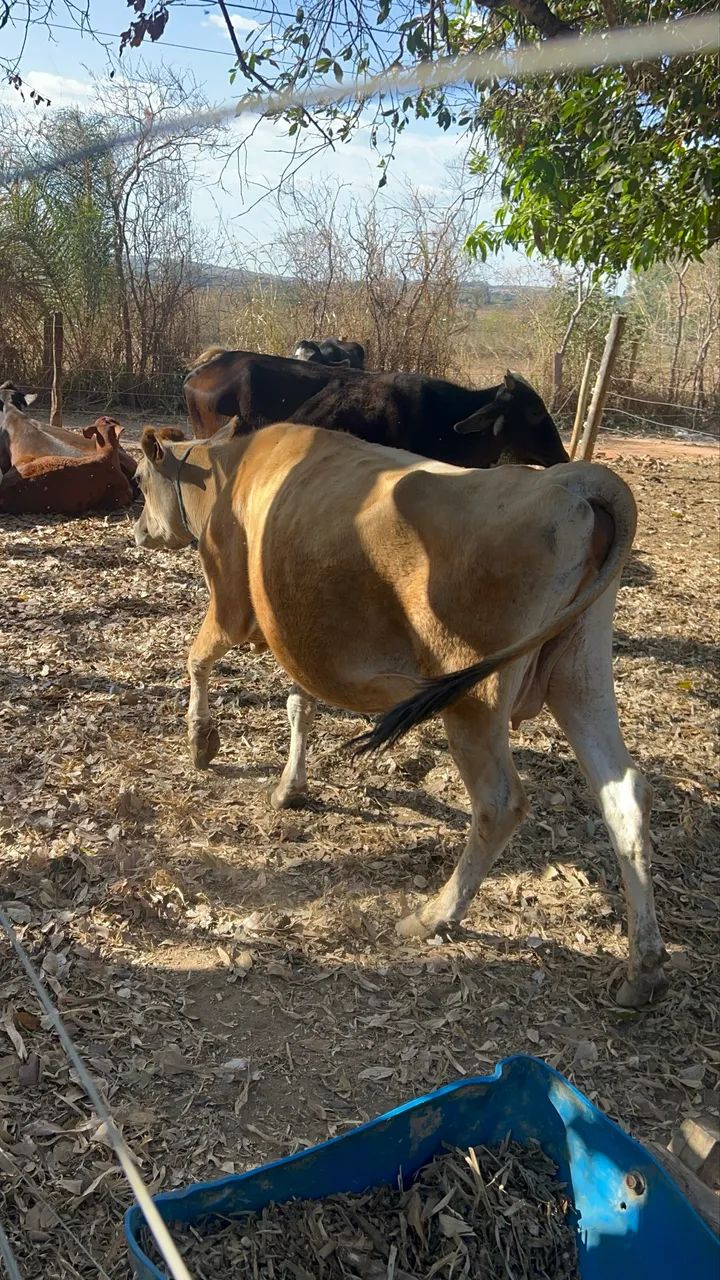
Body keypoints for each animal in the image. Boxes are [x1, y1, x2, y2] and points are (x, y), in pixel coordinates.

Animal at [133, 422, 667, 1008]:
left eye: (137, 479)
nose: (137, 532)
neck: (231, 470)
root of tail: (569, 480)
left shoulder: (234, 608)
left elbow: (198, 658)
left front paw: (201, 741)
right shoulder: (297, 633)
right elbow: (300, 705)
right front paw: (291, 786)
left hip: (474, 694)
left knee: (500, 803)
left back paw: (433, 916)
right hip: (578, 673)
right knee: (624, 794)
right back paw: (642, 969)